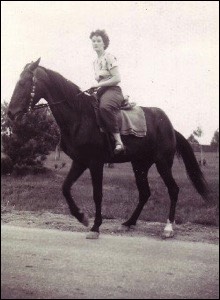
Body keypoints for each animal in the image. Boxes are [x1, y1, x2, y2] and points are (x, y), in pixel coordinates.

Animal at [7, 59, 210, 239]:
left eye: (23, 83)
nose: (10, 113)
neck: (80, 117)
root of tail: (170, 126)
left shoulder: (96, 163)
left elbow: (98, 194)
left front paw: (95, 227)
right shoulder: (80, 162)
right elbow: (65, 188)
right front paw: (82, 217)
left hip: (163, 163)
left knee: (173, 190)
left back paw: (168, 228)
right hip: (140, 165)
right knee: (144, 193)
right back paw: (129, 222)